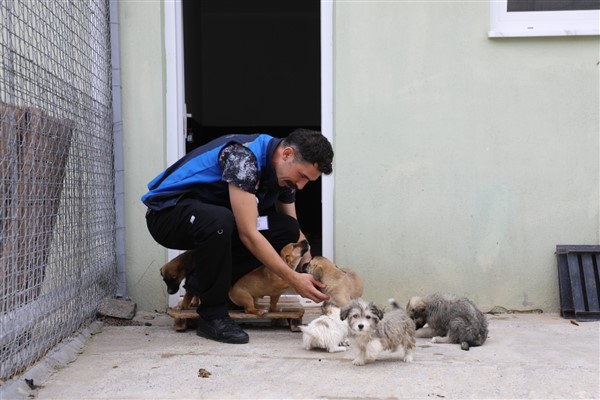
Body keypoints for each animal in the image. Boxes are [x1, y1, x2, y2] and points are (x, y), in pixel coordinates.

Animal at [144, 130, 336, 344]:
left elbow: (275, 304)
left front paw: (277, 310)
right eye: (294, 246)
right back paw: (253, 312)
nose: (305, 241)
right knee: (249, 308)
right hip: (244, 293)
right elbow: (288, 286)